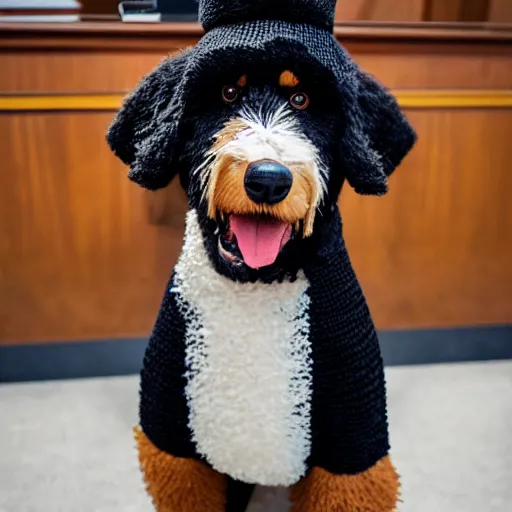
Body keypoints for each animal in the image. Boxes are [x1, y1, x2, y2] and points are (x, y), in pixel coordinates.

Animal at [107, 2, 416, 510]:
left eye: (303, 100)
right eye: (229, 92)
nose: (268, 179)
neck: (255, 285)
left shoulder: (353, 453)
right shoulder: (173, 445)